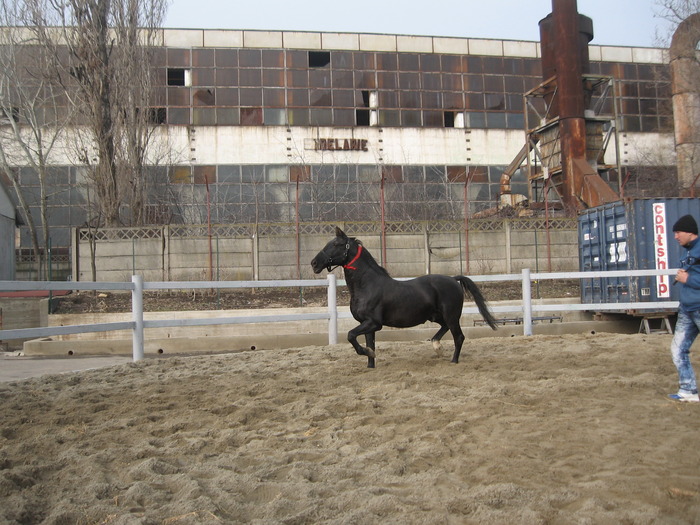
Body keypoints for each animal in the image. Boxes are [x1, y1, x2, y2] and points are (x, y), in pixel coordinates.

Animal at [312, 226, 498, 368]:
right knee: (445, 329)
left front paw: (366, 352)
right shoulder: (366, 324)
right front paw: (370, 364)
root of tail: (453, 279)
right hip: (436, 316)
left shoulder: (374, 323)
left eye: (336, 244)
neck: (367, 286)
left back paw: (453, 360)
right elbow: (369, 344)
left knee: (459, 337)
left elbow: (351, 335)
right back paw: (437, 346)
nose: (314, 263)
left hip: (451, 315)